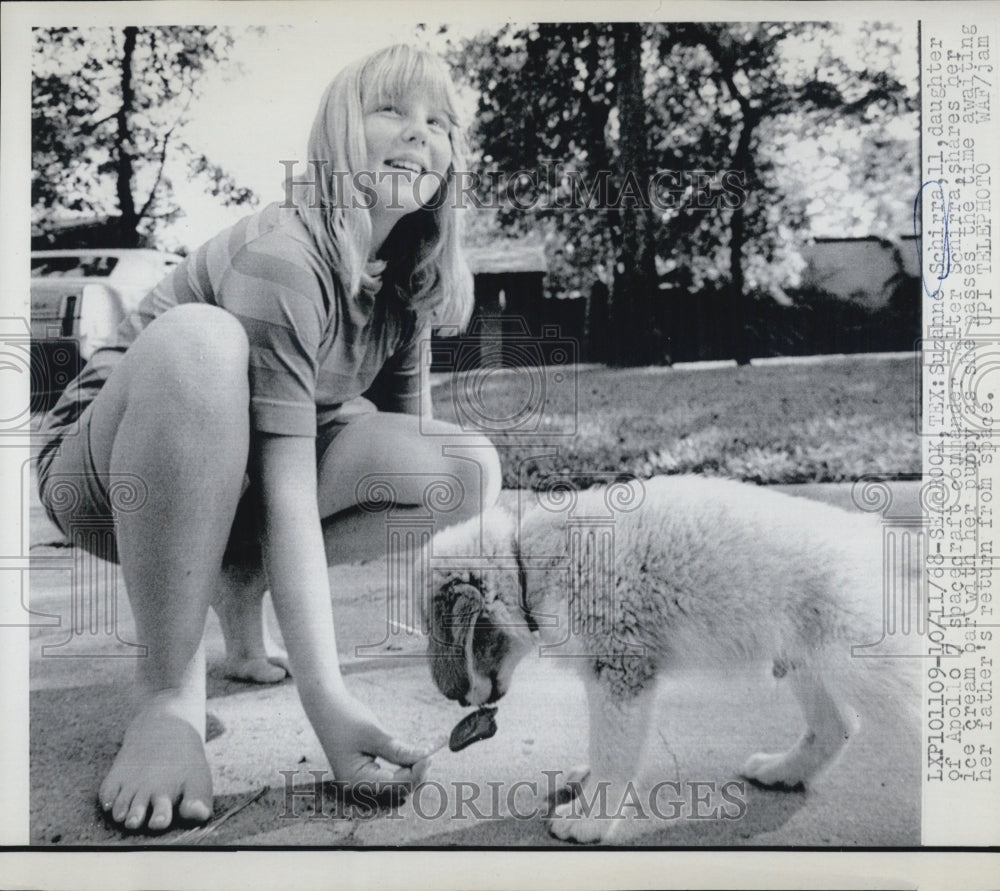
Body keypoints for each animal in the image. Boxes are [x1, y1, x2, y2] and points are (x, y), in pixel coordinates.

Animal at [422, 474, 916, 844]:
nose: (460, 703)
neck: (529, 564)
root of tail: (873, 535)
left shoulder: (622, 672)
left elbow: (613, 750)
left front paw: (591, 816)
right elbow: (602, 746)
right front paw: (587, 788)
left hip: (865, 662)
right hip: (804, 656)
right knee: (836, 725)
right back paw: (783, 771)